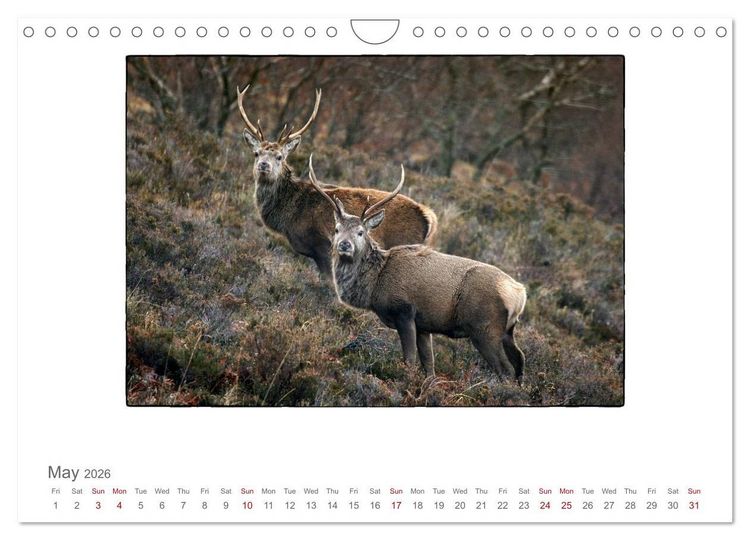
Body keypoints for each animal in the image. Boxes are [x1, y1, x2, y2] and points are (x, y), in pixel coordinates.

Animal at [236, 85, 438, 280]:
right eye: (256, 153)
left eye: (279, 156)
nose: (264, 165)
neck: (291, 212)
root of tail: (429, 217)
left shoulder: (322, 244)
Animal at [307, 155, 527, 381]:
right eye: (337, 229)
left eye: (361, 232)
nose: (344, 245)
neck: (375, 284)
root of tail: (519, 293)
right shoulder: (423, 324)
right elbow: (429, 364)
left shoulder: (404, 311)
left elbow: (410, 360)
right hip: (508, 330)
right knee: (520, 360)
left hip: (485, 328)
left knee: (506, 369)